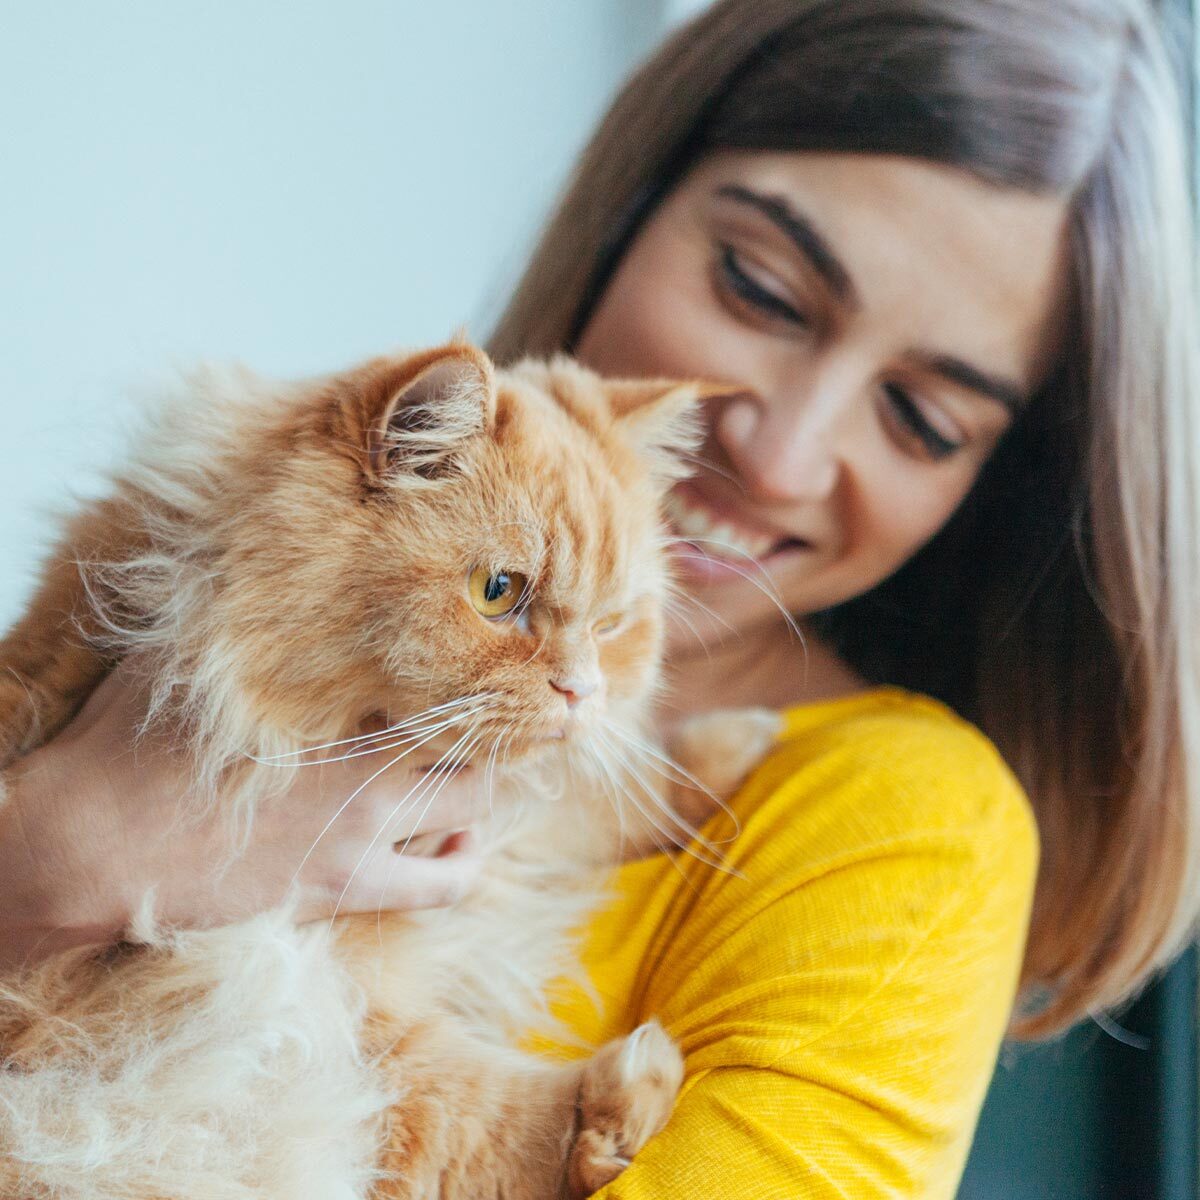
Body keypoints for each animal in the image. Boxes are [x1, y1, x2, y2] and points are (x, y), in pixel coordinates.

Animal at [0, 343, 777, 1200]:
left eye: (611, 625)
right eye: (496, 593)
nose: (581, 690)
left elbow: (603, 802)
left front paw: (737, 749)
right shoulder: (312, 1009)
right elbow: (497, 1125)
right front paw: (625, 1104)